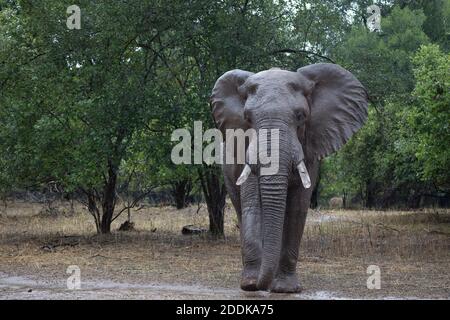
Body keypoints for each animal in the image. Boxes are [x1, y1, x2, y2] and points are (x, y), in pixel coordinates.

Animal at [209, 62, 368, 292]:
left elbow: (297, 208)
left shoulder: (310, 149)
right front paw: (250, 284)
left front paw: (285, 288)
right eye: (247, 119)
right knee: (241, 208)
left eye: (301, 116)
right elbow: (253, 204)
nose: (261, 286)